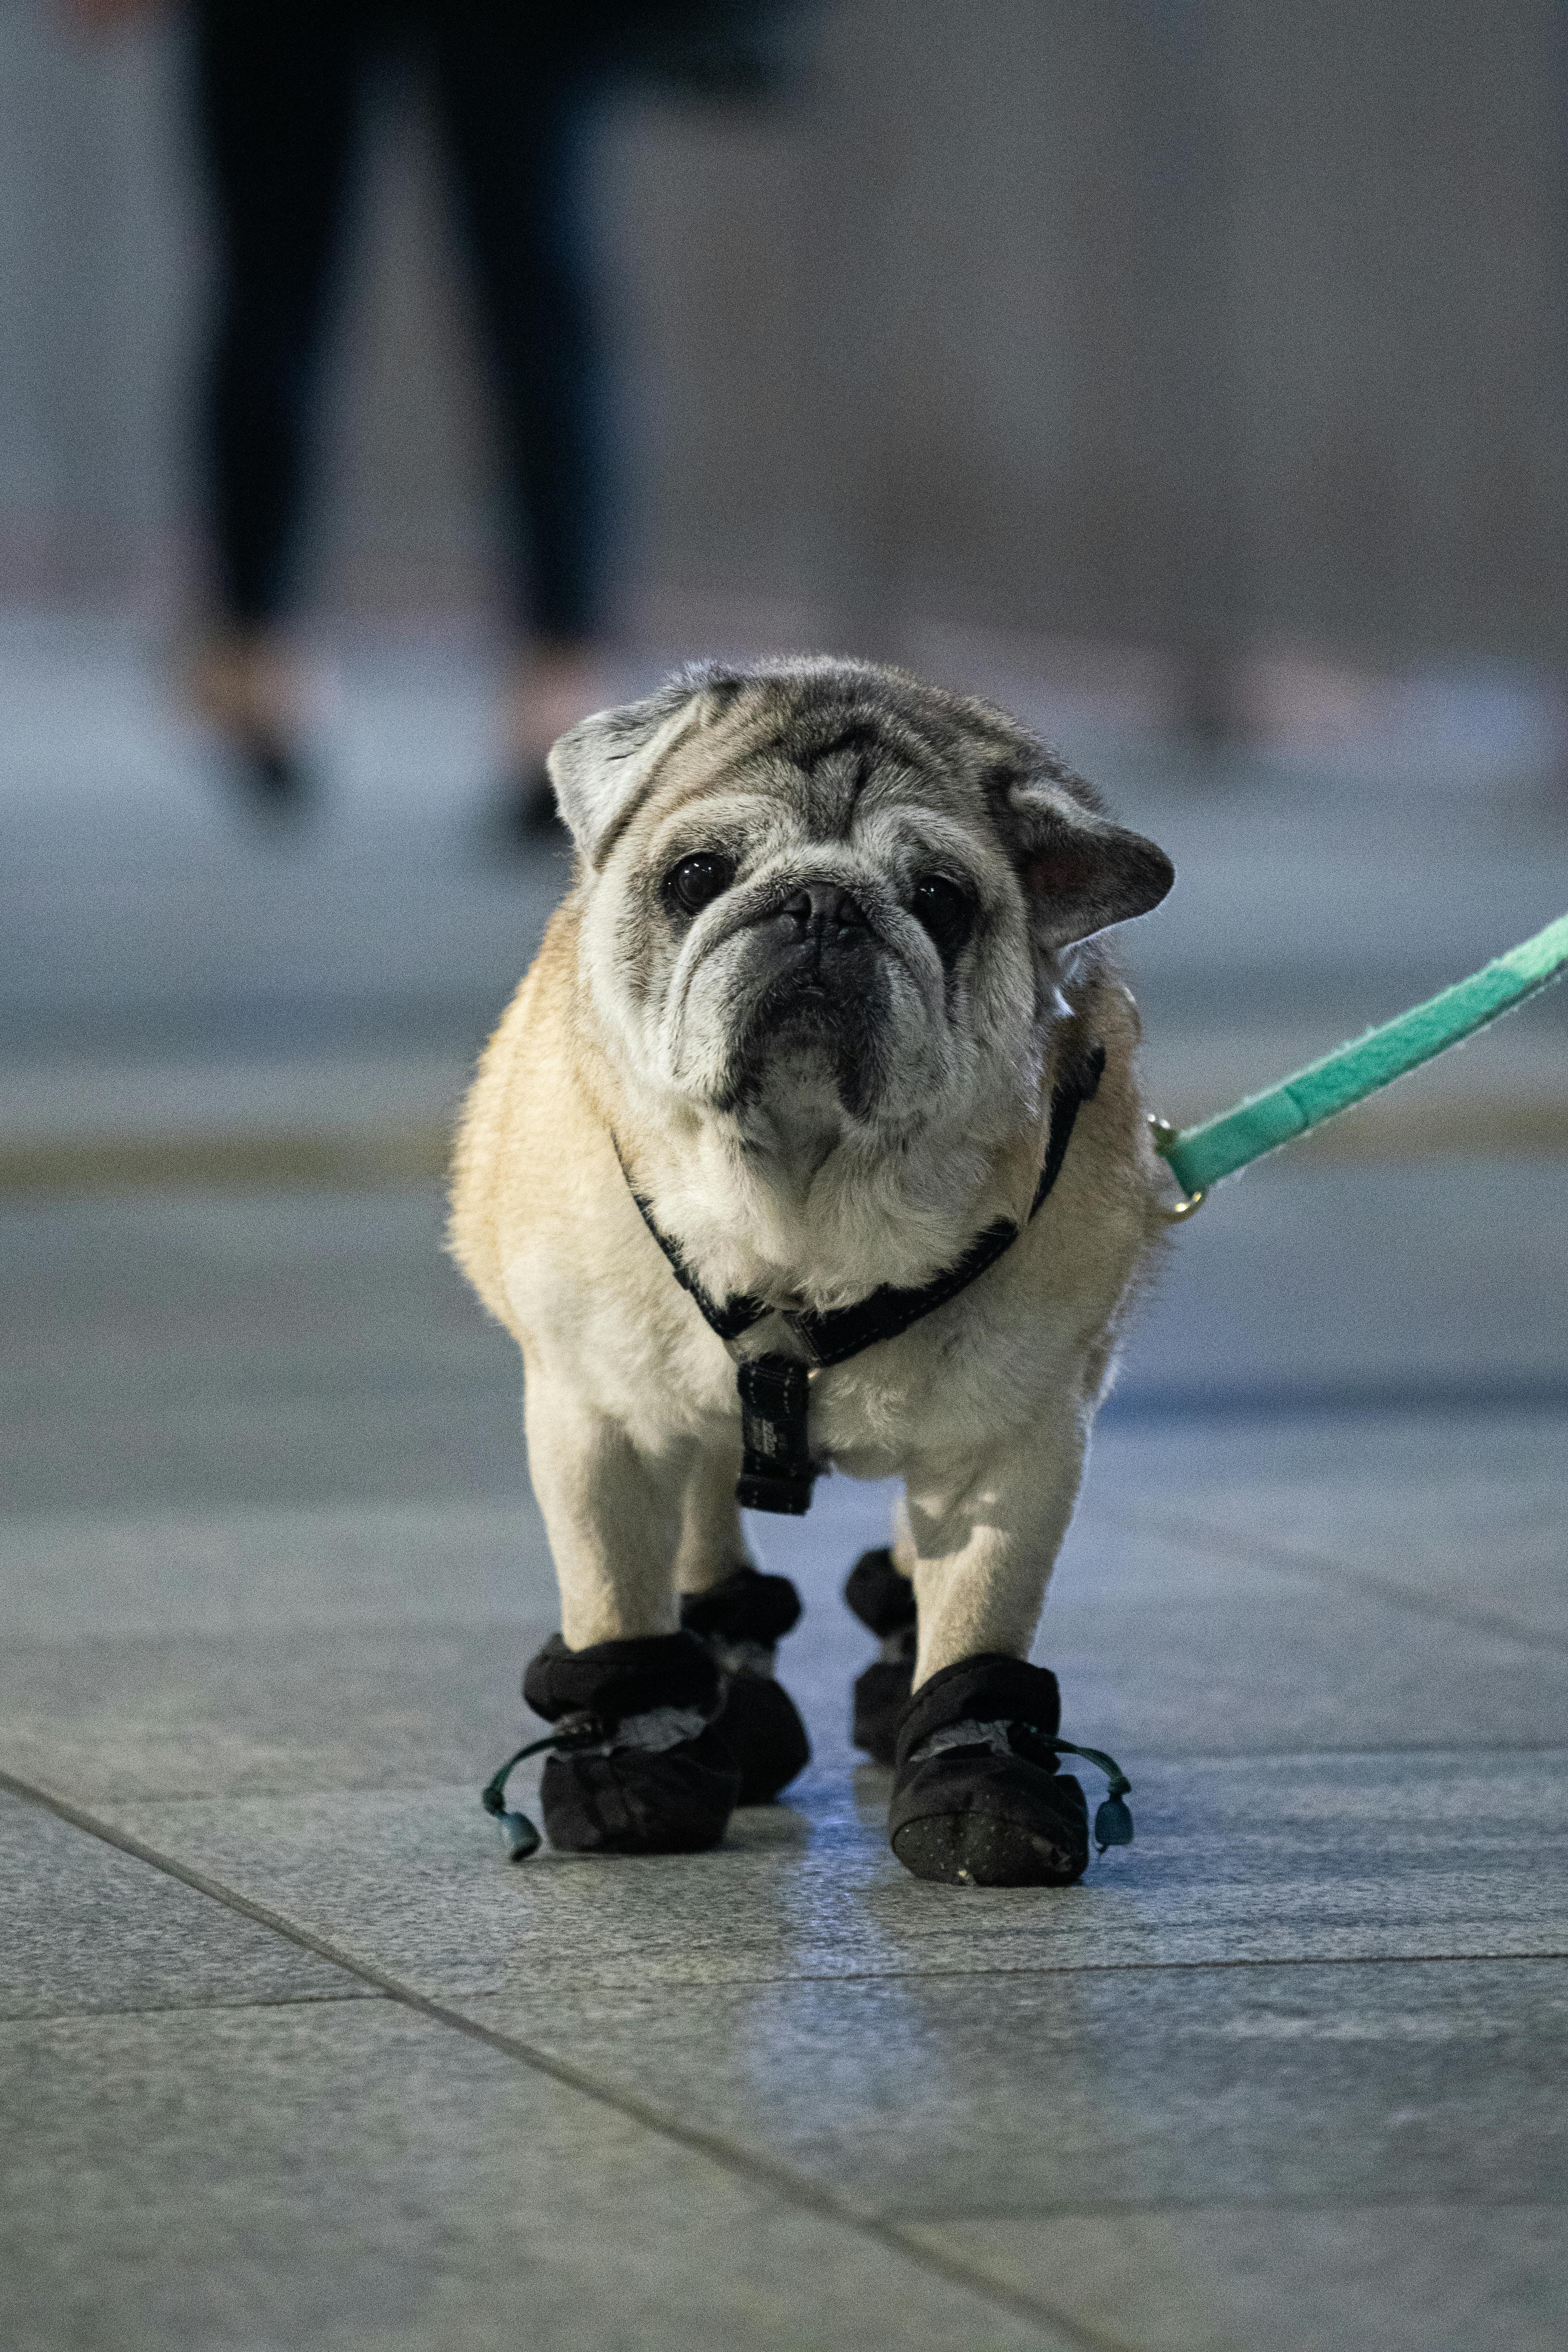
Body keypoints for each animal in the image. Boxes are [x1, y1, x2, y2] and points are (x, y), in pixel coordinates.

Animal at [446, 654, 1170, 1881]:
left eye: (941, 900)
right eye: (697, 876)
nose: (825, 904)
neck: (803, 1204)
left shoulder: (1011, 1451)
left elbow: (979, 1616)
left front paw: (977, 1779)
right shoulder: (599, 1422)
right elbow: (616, 1597)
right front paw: (633, 1765)